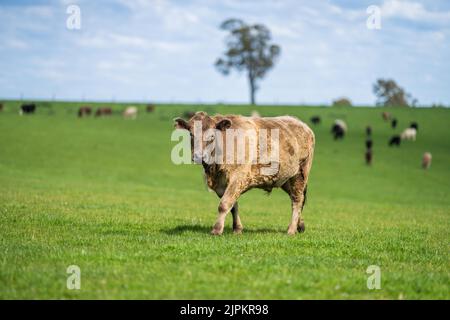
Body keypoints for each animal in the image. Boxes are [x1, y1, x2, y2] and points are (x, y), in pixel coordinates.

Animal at [174, 112, 314, 235]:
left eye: (212, 136)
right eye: (191, 134)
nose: (198, 156)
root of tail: (301, 124)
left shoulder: (238, 178)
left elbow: (224, 204)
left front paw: (217, 229)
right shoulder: (221, 184)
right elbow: (233, 206)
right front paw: (237, 229)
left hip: (299, 175)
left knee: (297, 200)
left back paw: (291, 230)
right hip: (286, 179)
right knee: (297, 199)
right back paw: (300, 225)